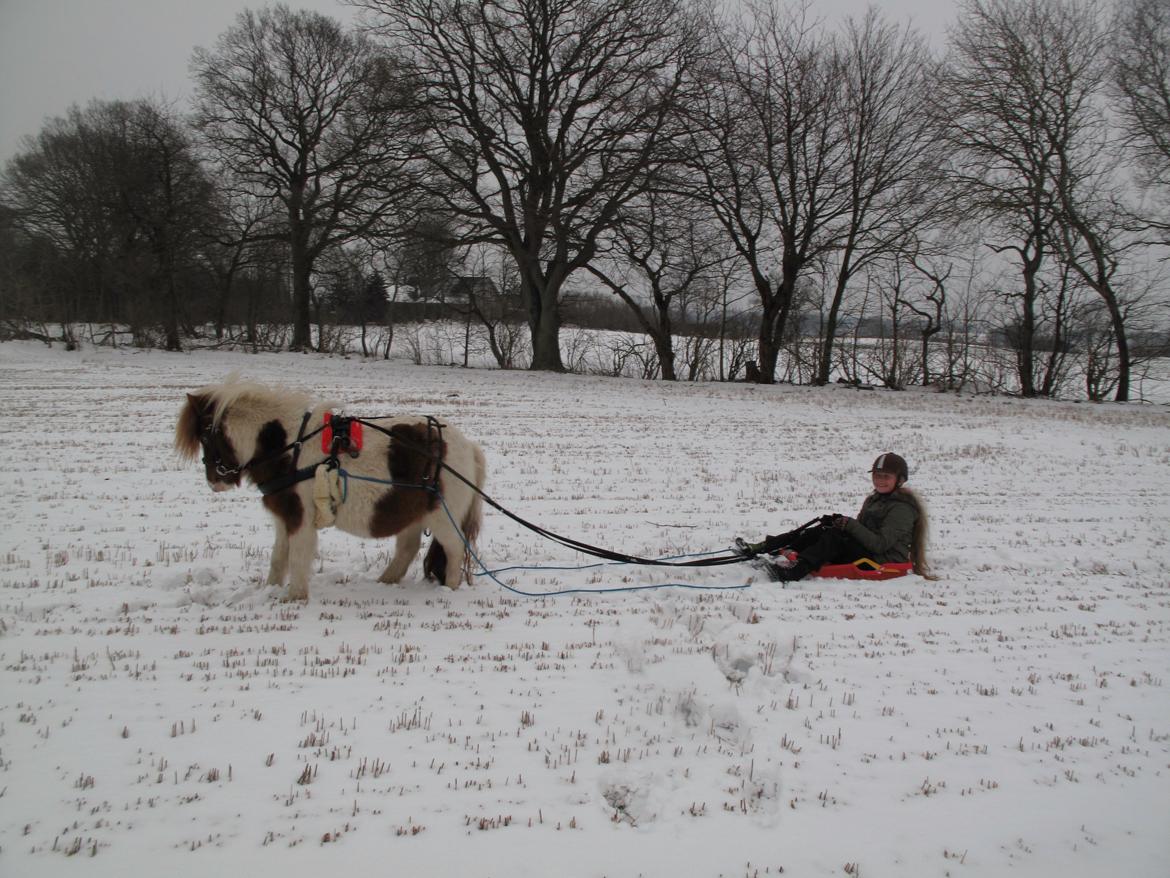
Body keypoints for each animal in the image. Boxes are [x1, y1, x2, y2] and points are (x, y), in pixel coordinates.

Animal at [173, 381, 484, 604]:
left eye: (205, 434)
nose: (215, 481)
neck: (288, 446)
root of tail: (467, 446)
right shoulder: (284, 517)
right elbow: (279, 556)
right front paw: (271, 589)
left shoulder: (300, 518)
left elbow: (298, 556)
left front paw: (294, 598)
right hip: (412, 512)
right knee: (407, 549)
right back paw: (386, 581)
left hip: (443, 517)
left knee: (455, 549)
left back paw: (450, 589)